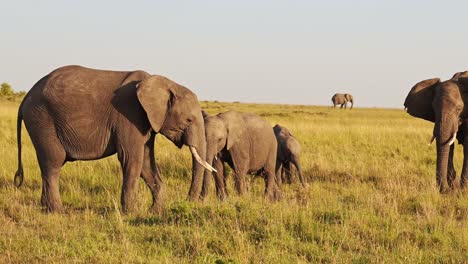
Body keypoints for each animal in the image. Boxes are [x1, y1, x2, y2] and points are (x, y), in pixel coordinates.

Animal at [14, 65, 216, 213]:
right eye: (189, 120)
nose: (188, 201)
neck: (164, 83)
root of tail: (26, 97)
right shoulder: (128, 115)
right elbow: (131, 159)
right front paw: (132, 213)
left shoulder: (146, 121)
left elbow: (146, 162)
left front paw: (155, 211)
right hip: (42, 119)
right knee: (53, 163)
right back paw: (58, 211)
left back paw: (45, 208)